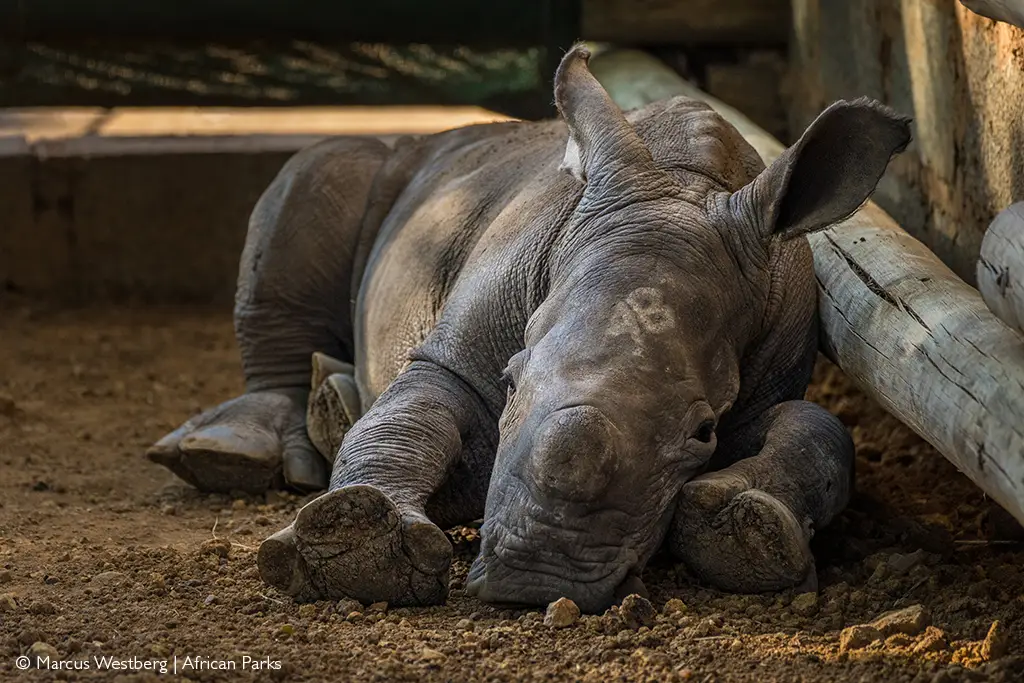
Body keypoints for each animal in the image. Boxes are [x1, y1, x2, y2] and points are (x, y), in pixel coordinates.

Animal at [148, 46, 910, 612]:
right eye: (510, 381)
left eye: (702, 432)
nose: (532, 580)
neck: (686, 183)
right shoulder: (453, 351)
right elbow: (405, 417)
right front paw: (356, 548)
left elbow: (818, 427)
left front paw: (748, 534)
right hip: (403, 163)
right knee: (318, 168)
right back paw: (230, 452)